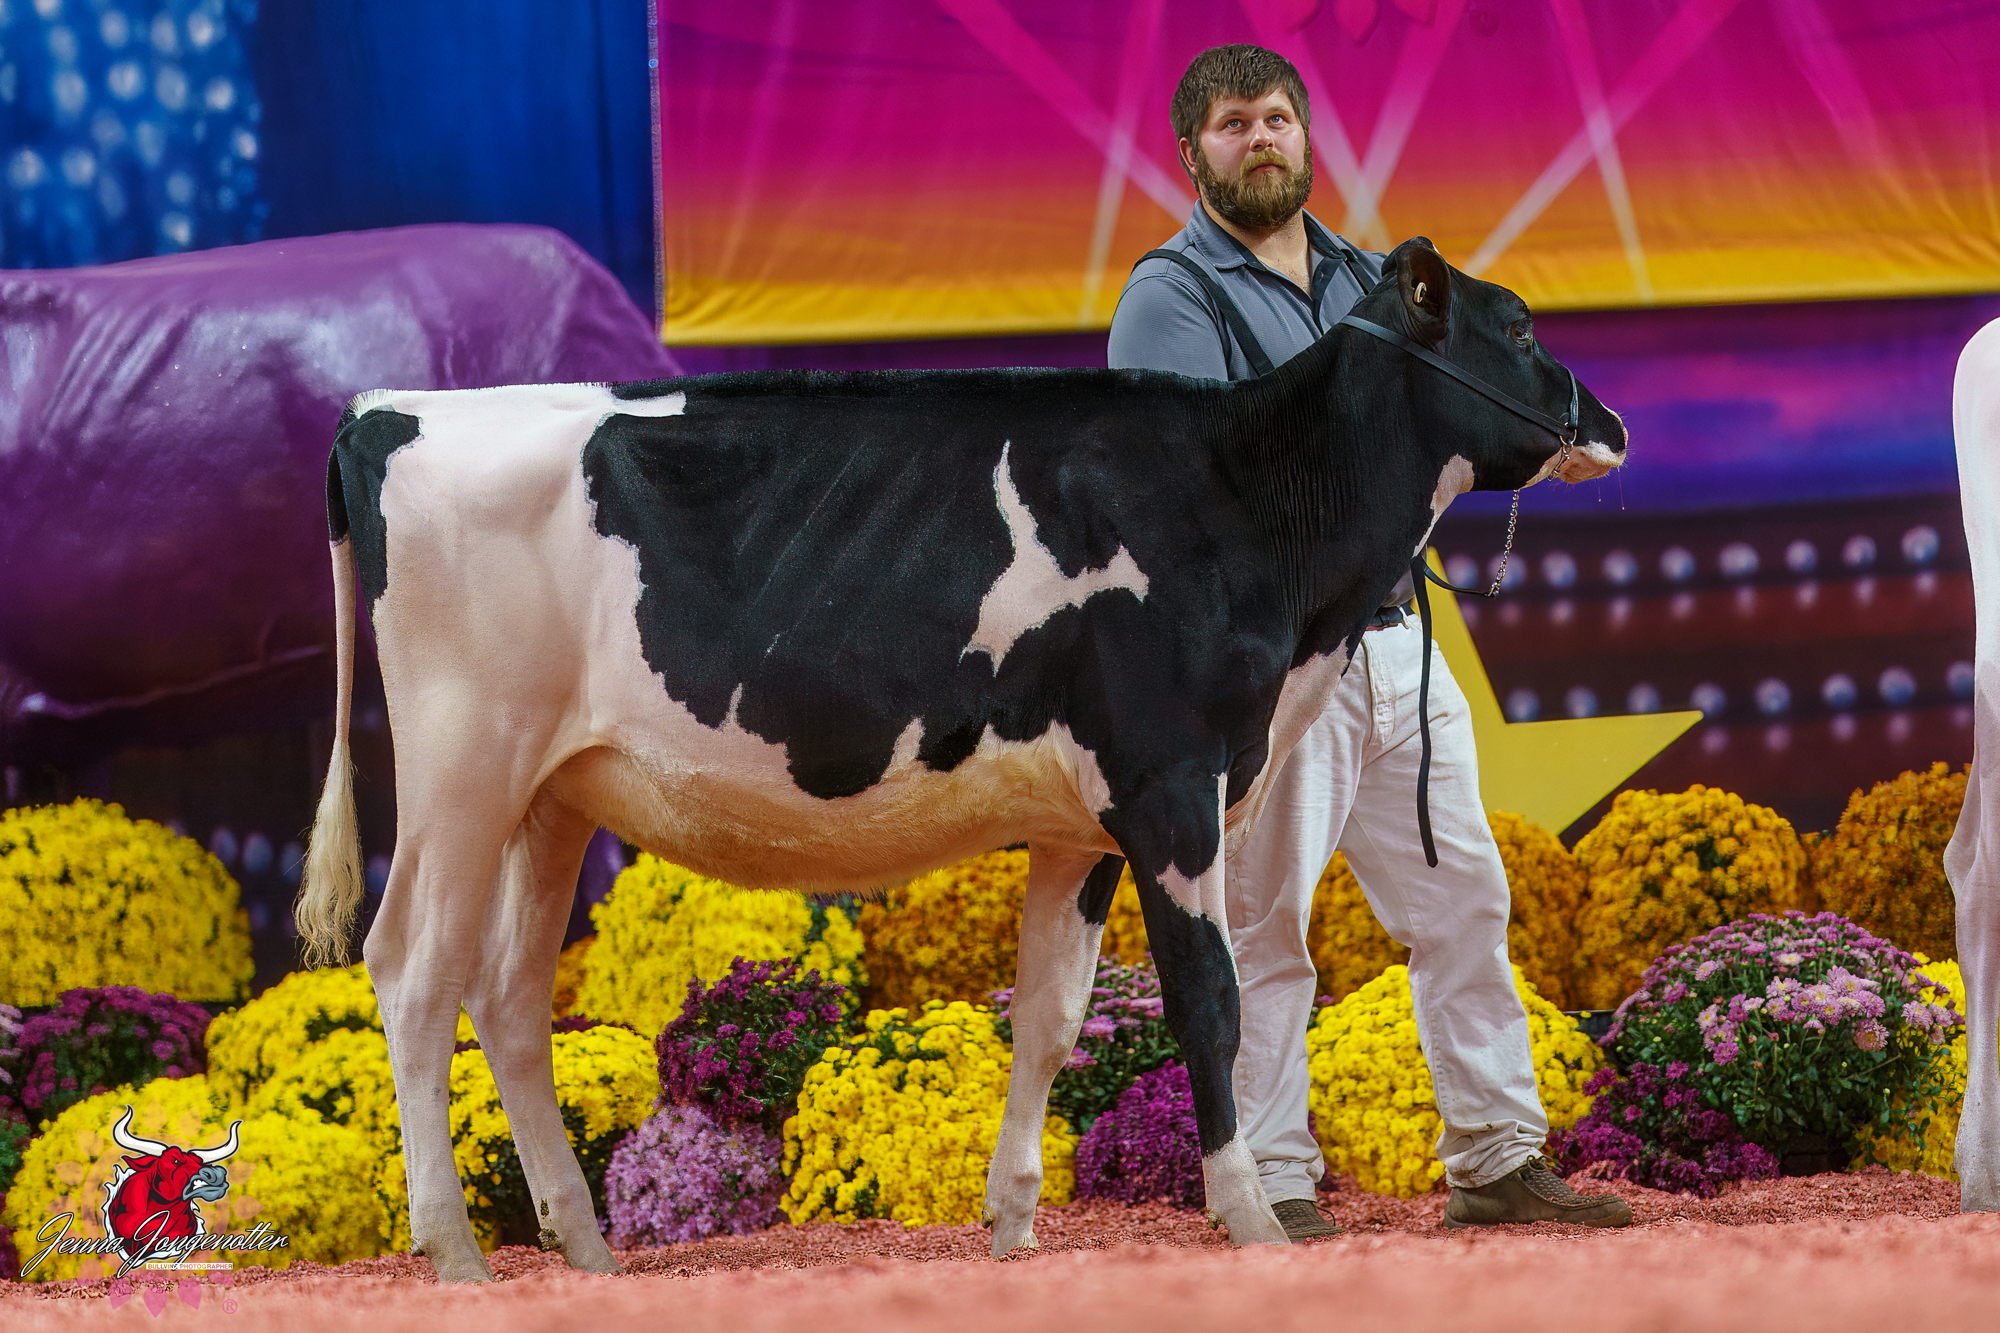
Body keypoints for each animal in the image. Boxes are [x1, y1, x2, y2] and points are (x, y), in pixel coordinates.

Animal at [297, 236, 1625, 1281]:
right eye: (1515, 323)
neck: (1248, 502)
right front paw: (1249, 1215)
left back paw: (581, 1245)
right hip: (462, 768)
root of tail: (385, 411)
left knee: (510, 995)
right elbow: (1210, 1001)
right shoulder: (1172, 782)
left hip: (550, 796)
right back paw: (454, 1250)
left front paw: (1010, 1224)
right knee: (411, 971)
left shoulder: (1082, 822)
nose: (1607, 422)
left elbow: (1048, 1015)